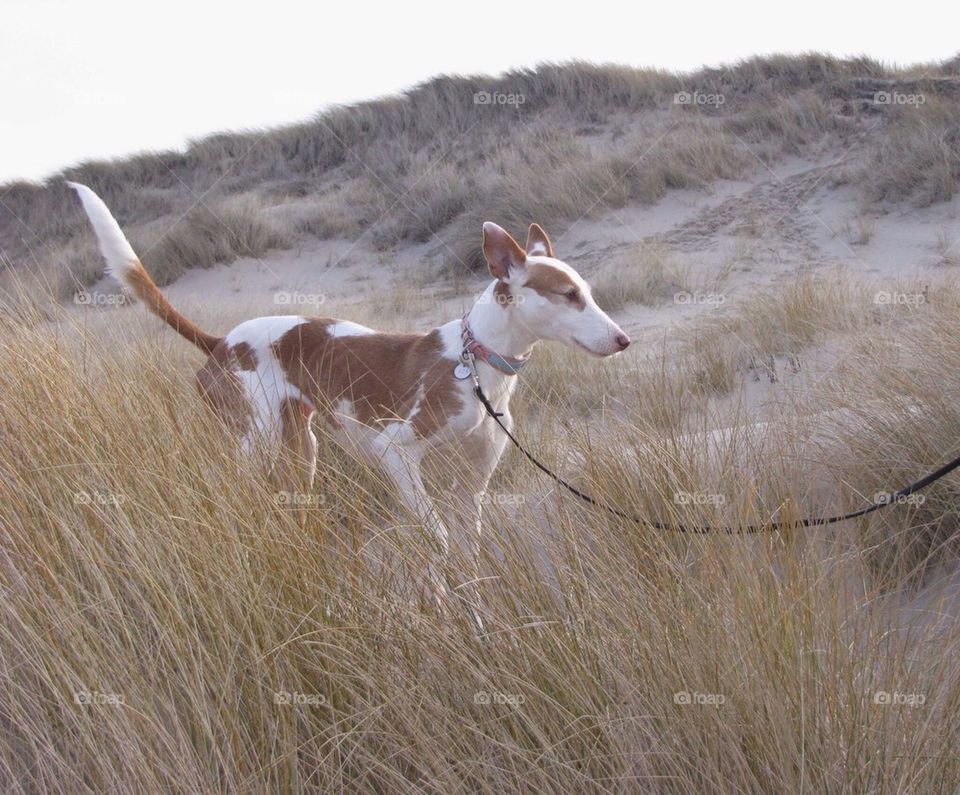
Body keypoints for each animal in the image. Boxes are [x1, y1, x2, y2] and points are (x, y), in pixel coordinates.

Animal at [69, 182, 632, 616]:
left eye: (588, 292)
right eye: (567, 296)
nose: (624, 340)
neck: (475, 364)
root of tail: (220, 342)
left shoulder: (472, 486)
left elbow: (463, 556)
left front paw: (470, 618)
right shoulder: (396, 452)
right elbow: (435, 539)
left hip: (302, 451)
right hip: (254, 444)